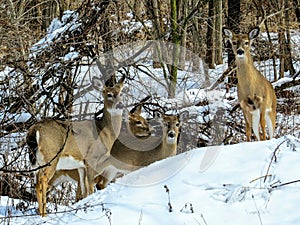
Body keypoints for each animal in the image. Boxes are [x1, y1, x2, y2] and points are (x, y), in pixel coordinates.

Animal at [25, 75, 124, 216]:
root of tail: (34, 130)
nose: (120, 105)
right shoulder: (91, 158)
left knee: (36, 183)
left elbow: (84, 190)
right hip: (51, 157)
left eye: (120, 93)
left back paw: (41, 214)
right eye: (109, 94)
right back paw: (44, 214)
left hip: (36, 162)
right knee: (42, 182)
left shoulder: (81, 165)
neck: (104, 132)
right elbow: (90, 188)